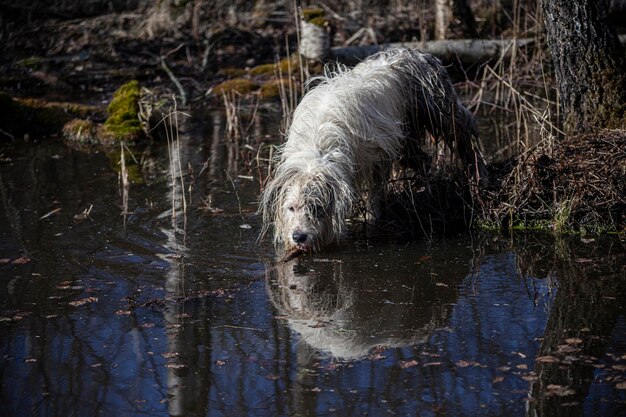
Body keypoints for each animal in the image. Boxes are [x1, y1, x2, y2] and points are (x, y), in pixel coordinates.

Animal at [258, 47, 482, 252]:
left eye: (317, 208)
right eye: (291, 208)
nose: (298, 237)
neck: (317, 148)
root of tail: (417, 52)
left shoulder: (376, 157)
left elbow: (374, 191)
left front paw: (371, 218)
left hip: (443, 113)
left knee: (467, 136)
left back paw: (479, 177)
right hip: (406, 141)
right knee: (424, 161)